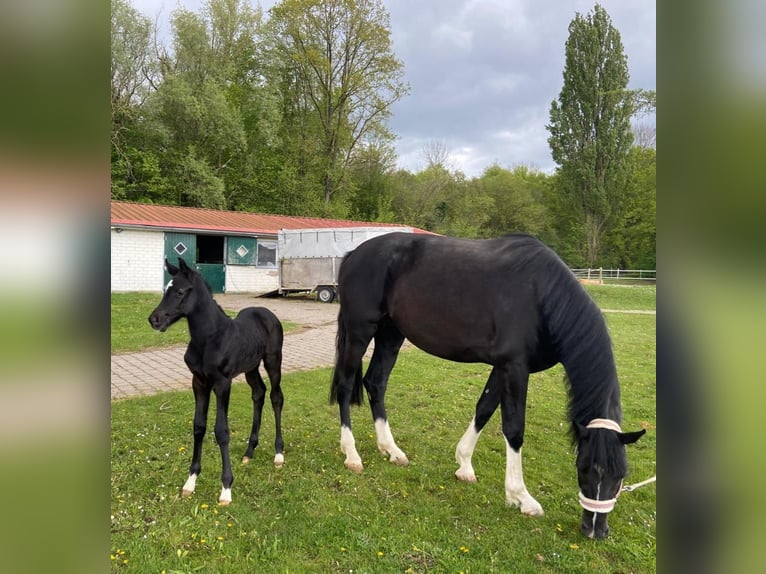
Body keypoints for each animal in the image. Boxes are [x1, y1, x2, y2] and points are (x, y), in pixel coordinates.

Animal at [148, 258, 285, 506]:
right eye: (166, 290)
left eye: (180, 292)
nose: (154, 319)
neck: (209, 338)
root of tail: (266, 312)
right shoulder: (199, 383)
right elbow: (199, 426)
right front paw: (190, 482)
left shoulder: (222, 383)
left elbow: (221, 430)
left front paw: (226, 488)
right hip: (250, 367)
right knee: (258, 393)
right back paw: (249, 452)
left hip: (273, 361)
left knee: (276, 397)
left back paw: (279, 454)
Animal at [329, 232, 646, 539]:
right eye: (583, 469)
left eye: (622, 475)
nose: (595, 530)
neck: (541, 295)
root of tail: (353, 255)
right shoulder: (514, 367)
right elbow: (514, 430)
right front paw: (521, 497)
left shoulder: (504, 368)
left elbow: (484, 408)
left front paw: (464, 465)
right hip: (360, 332)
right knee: (345, 386)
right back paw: (352, 455)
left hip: (391, 333)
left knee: (376, 383)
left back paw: (391, 449)